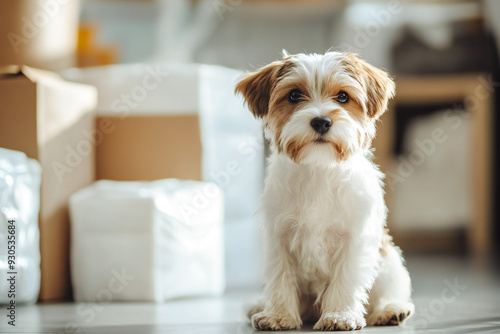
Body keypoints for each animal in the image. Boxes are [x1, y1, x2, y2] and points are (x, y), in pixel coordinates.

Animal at [236, 51, 416, 330]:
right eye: (294, 95)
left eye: (342, 96)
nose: (321, 121)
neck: (318, 167)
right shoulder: (279, 237)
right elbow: (280, 276)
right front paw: (278, 315)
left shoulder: (353, 238)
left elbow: (345, 278)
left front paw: (339, 315)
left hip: (390, 262)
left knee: (388, 291)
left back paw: (390, 310)